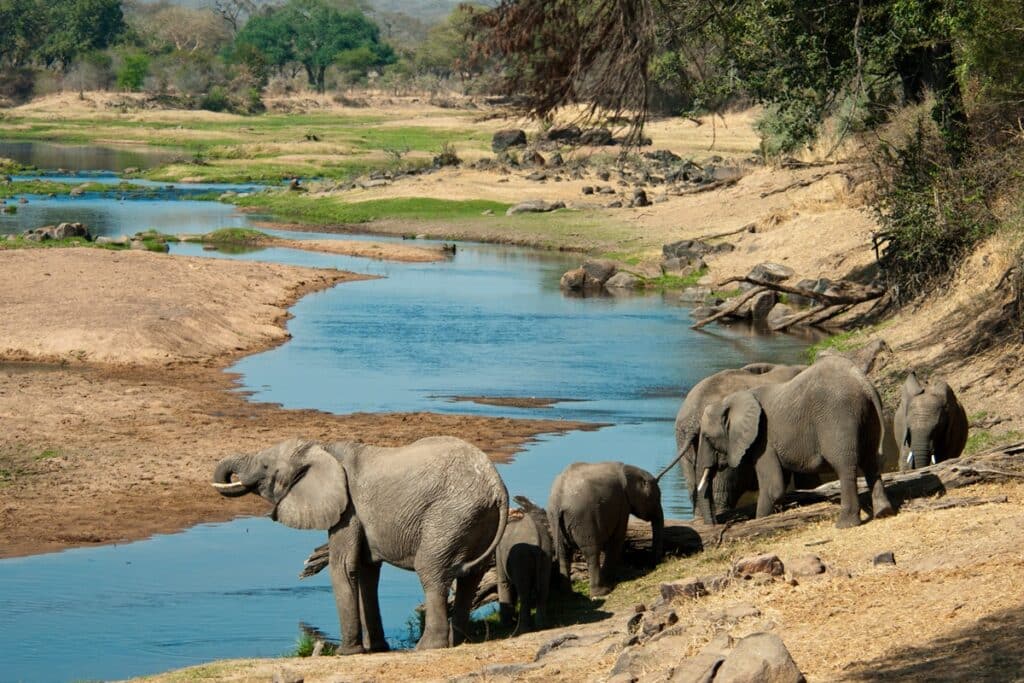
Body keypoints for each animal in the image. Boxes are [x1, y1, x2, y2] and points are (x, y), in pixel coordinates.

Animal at [210, 436, 507, 655]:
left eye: (265, 467)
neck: (322, 450)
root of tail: (497, 487)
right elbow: (366, 571)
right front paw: (376, 649)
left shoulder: (348, 509)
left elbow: (343, 566)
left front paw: (346, 653)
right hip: (475, 519)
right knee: (470, 578)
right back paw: (459, 641)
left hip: (449, 515)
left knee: (431, 571)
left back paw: (427, 647)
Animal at [495, 497, 552, 634]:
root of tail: (537, 538)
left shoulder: (499, 551)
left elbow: (504, 583)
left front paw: (506, 625)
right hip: (546, 552)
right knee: (543, 588)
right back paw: (542, 626)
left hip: (521, 556)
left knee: (524, 592)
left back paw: (521, 630)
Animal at [544, 458, 663, 598]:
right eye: (656, 498)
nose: (654, 565)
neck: (629, 470)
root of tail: (559, 500)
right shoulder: (623, 503)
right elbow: (617, 538)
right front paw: (611, 580)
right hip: (584, 519)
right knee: (591, 552)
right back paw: (602, 591)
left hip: (554, 518)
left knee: (563, 553)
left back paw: (568, 595)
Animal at [692, 356, 892, 532]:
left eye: (708, 437)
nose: (715, 526)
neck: (731, 400)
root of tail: (863, 383)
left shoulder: (763, 440)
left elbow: (773, 488)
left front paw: (760, 520)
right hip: (868, 416)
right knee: (871, 461)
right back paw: (884, 512)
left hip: (838, 416)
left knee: (845, 466)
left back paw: (845, 524)